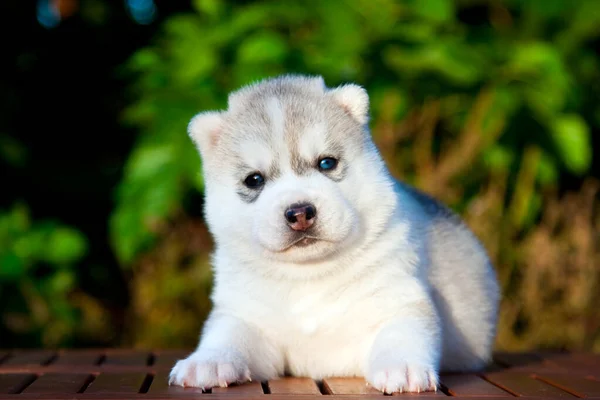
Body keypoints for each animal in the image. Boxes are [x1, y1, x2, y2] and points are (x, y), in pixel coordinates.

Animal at [168, 75, 496, 394]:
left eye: (326, 162)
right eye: (254, 180)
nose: (299, 213)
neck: (310, 275)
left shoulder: (399, 297)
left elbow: (402, 331)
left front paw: (401, 367)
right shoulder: (247, 317)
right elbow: (227, 335)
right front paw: (207, 362)